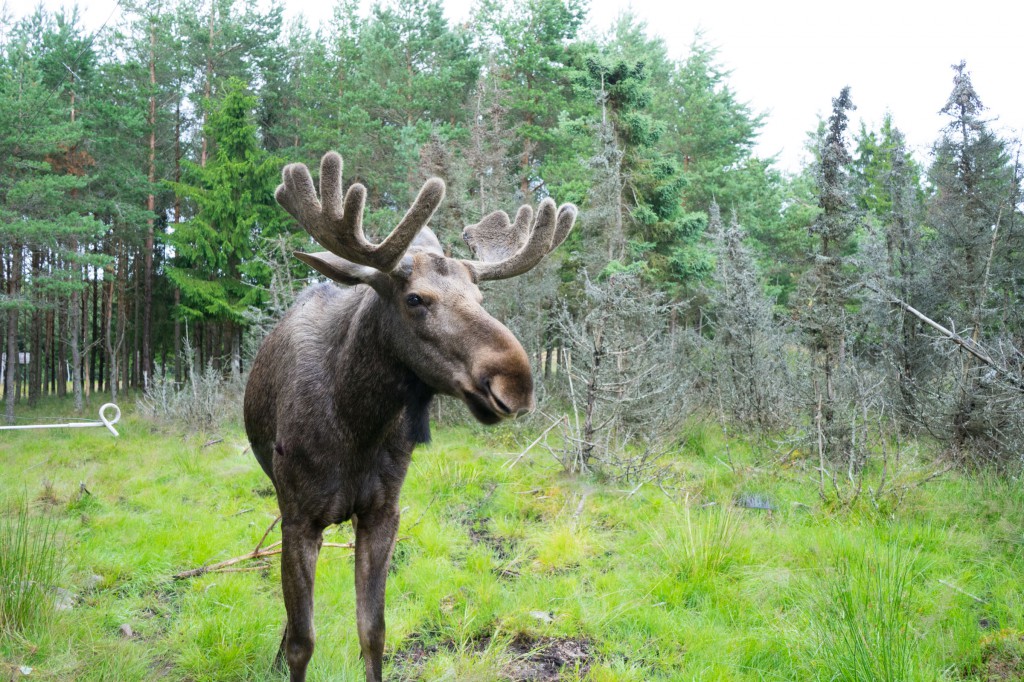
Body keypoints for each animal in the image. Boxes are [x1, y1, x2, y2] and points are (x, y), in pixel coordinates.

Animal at [241, 150, 577, 679]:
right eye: (415, 298)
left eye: (480, 299)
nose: (516, 382)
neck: (357, 422)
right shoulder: (299, 516)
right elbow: (302, 642)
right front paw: (285, 656)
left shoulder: (384, 512)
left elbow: (373, 633)